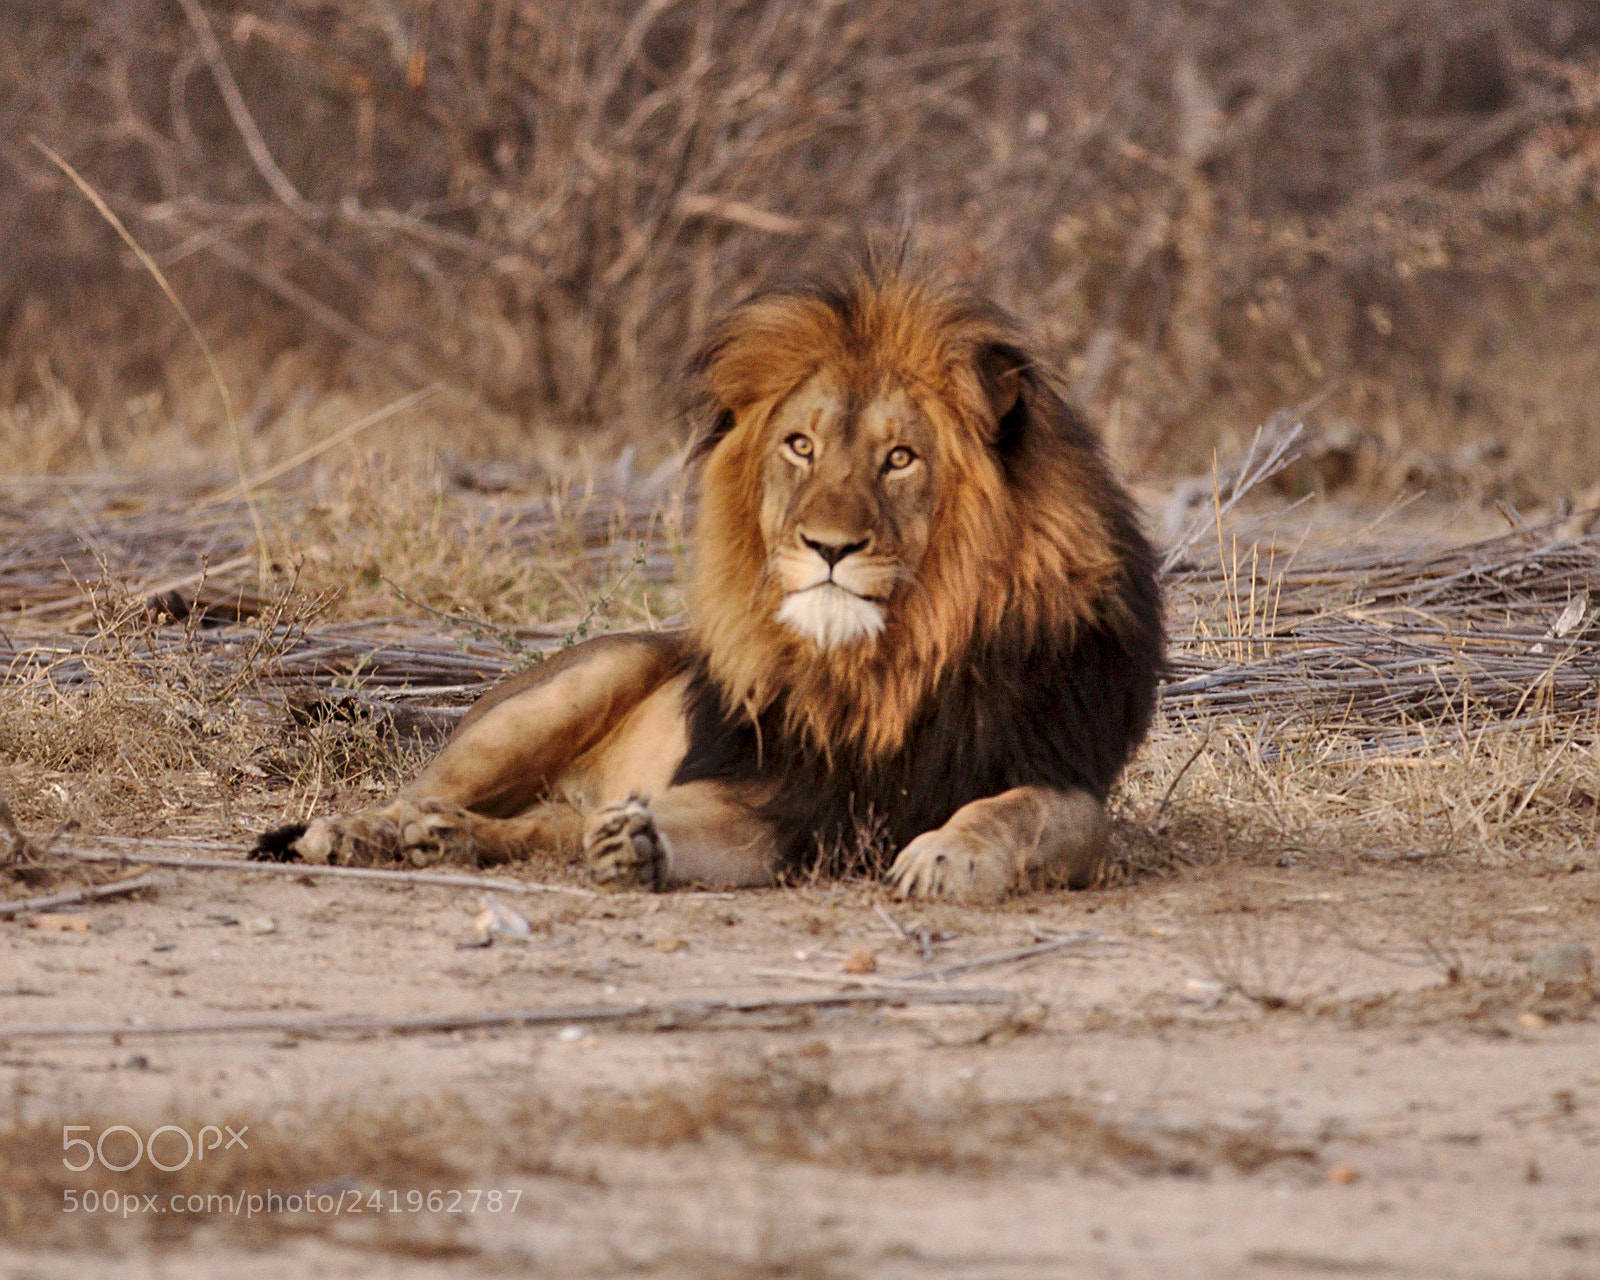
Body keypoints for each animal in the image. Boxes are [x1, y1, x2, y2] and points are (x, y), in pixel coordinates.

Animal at [255, 263, 1164, 900]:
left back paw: (450, 839)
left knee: (539, 823)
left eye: (900, 458)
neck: (883, 659)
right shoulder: (774, 793)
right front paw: (642, 840)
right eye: (800, 445)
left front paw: (947, 852)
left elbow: (1019, 812)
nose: (828, 546)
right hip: (578, 680)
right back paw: (359, 835)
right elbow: (689, 815)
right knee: (420, 792)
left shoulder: (1063, 772)